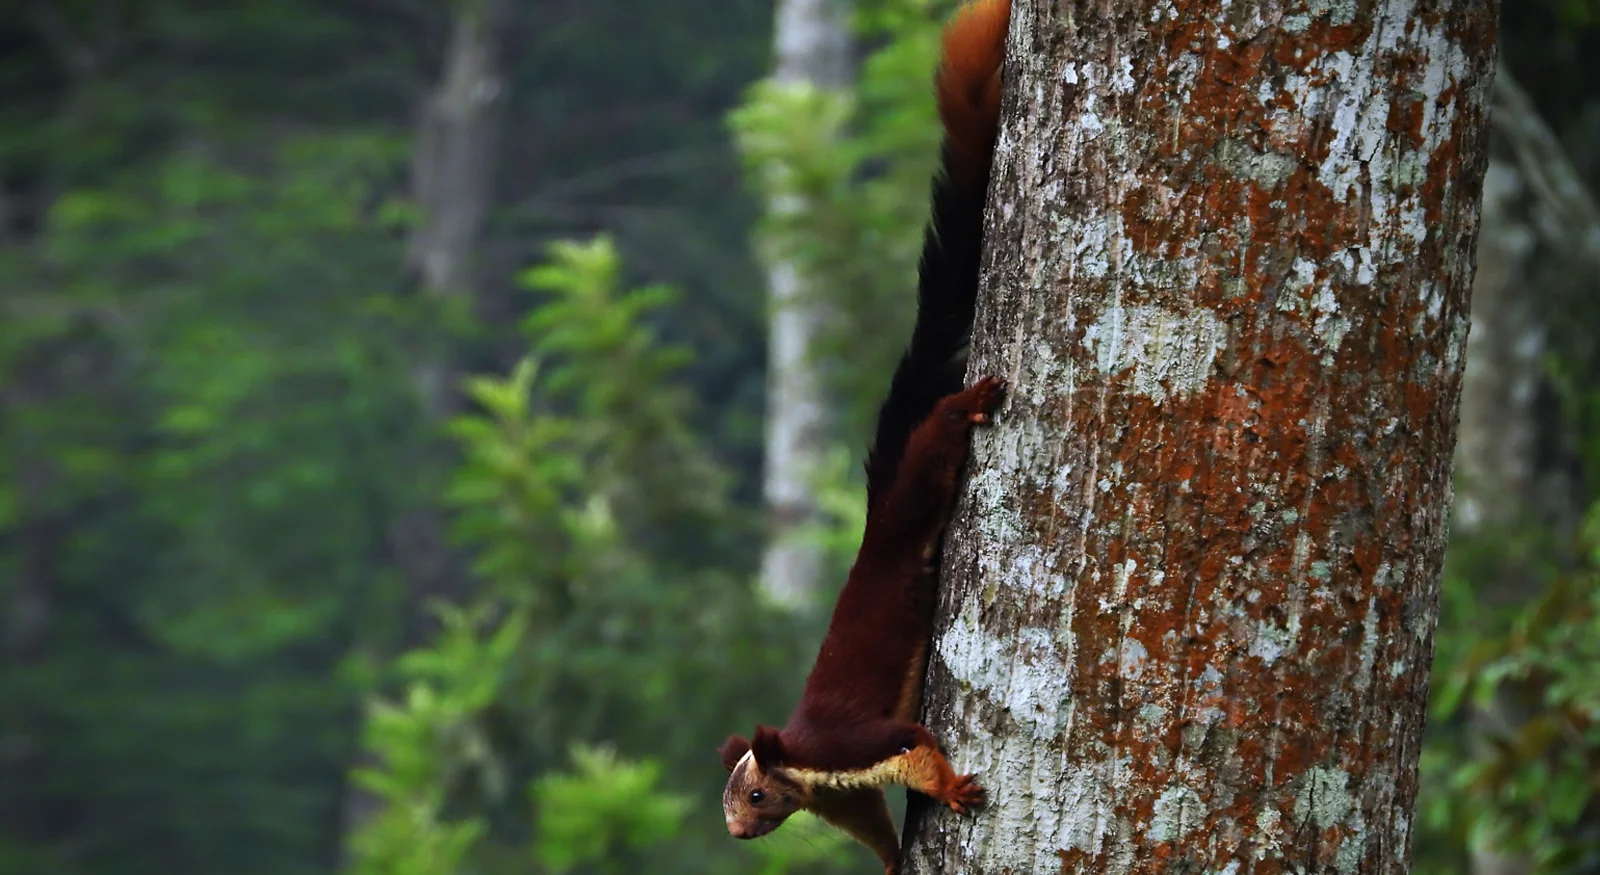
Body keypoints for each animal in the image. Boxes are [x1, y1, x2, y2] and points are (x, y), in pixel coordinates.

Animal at [718, 0, 1011, 872]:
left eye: (753, 795)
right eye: (729, 798)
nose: (735, 831)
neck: (801, 768)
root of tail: (876, 507)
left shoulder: (845, 745)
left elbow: (912, 741)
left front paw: (952, 787)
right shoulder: (837, 793)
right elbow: (872, 821)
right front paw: (887, 859)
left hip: (914, 495)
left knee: (933, 447)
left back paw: (966, 402)